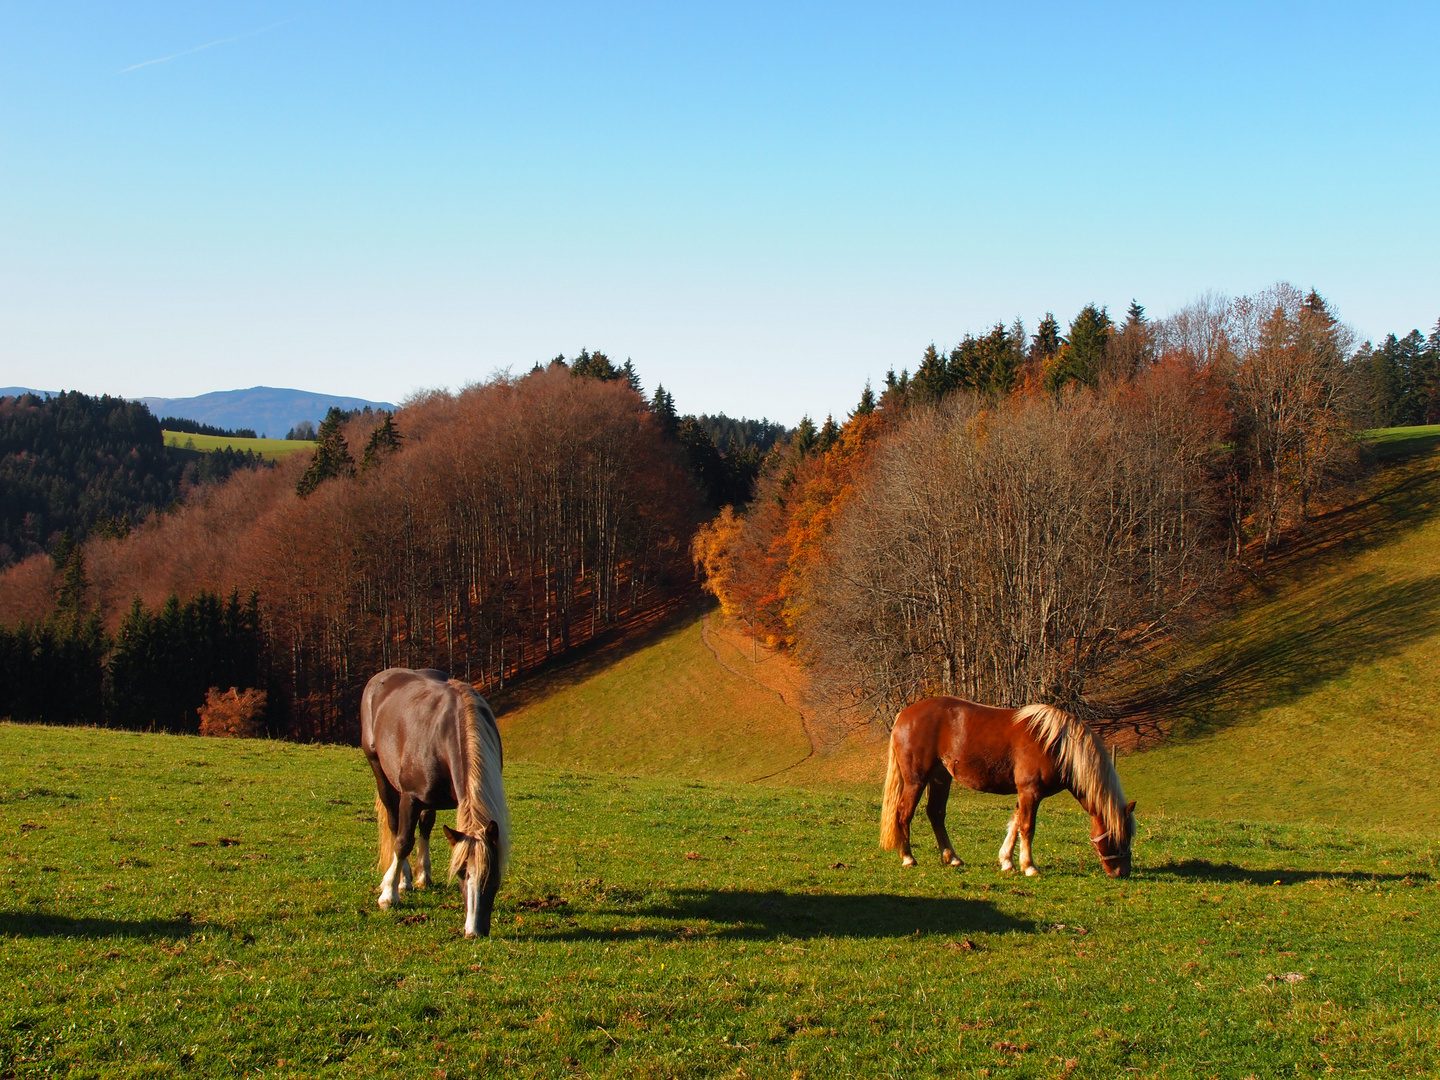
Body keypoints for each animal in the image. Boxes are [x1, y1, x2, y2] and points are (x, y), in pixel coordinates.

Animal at [360, 668, 512, 938]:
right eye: (461, 873)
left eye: (493, 875)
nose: (474, 931)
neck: (450, 729)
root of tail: (382, 676)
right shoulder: (410, 797)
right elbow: (402, 842)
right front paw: (389, 896)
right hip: (380, 771)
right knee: (395, 825)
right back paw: (402, 879)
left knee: (426, 826)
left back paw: (423, 876)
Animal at [875, 702, 1134, 881]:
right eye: (1121, 837)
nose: (1122, 872)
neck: (1056, 745)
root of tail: (904, 714)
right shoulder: (1030, 791)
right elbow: (1027, 827)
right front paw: (1029, 866)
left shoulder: (1025, 793)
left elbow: (1016, 824)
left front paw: (1007, 861)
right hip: (916, 780)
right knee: (903, 813)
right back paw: (908, 857)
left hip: (941, 777)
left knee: (936, 814)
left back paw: (952, 857)